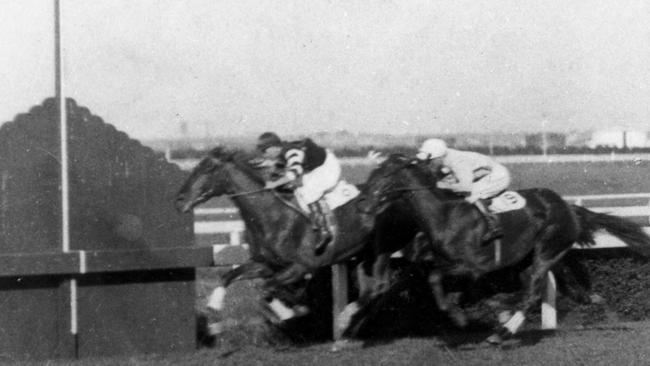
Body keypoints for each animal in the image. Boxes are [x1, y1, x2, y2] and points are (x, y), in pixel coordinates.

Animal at [362, 154, 648, 344]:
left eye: (383, 176)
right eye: (371, 174)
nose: (364, 202)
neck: (445, 216)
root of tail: (568, 207)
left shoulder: (472, 267)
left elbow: (435, 278)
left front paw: (461, 317)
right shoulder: (452, 268)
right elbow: (430, 282)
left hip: (546, 249)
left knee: (533, 289)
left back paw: (503, 332)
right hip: (539, 256)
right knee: (551, 288)